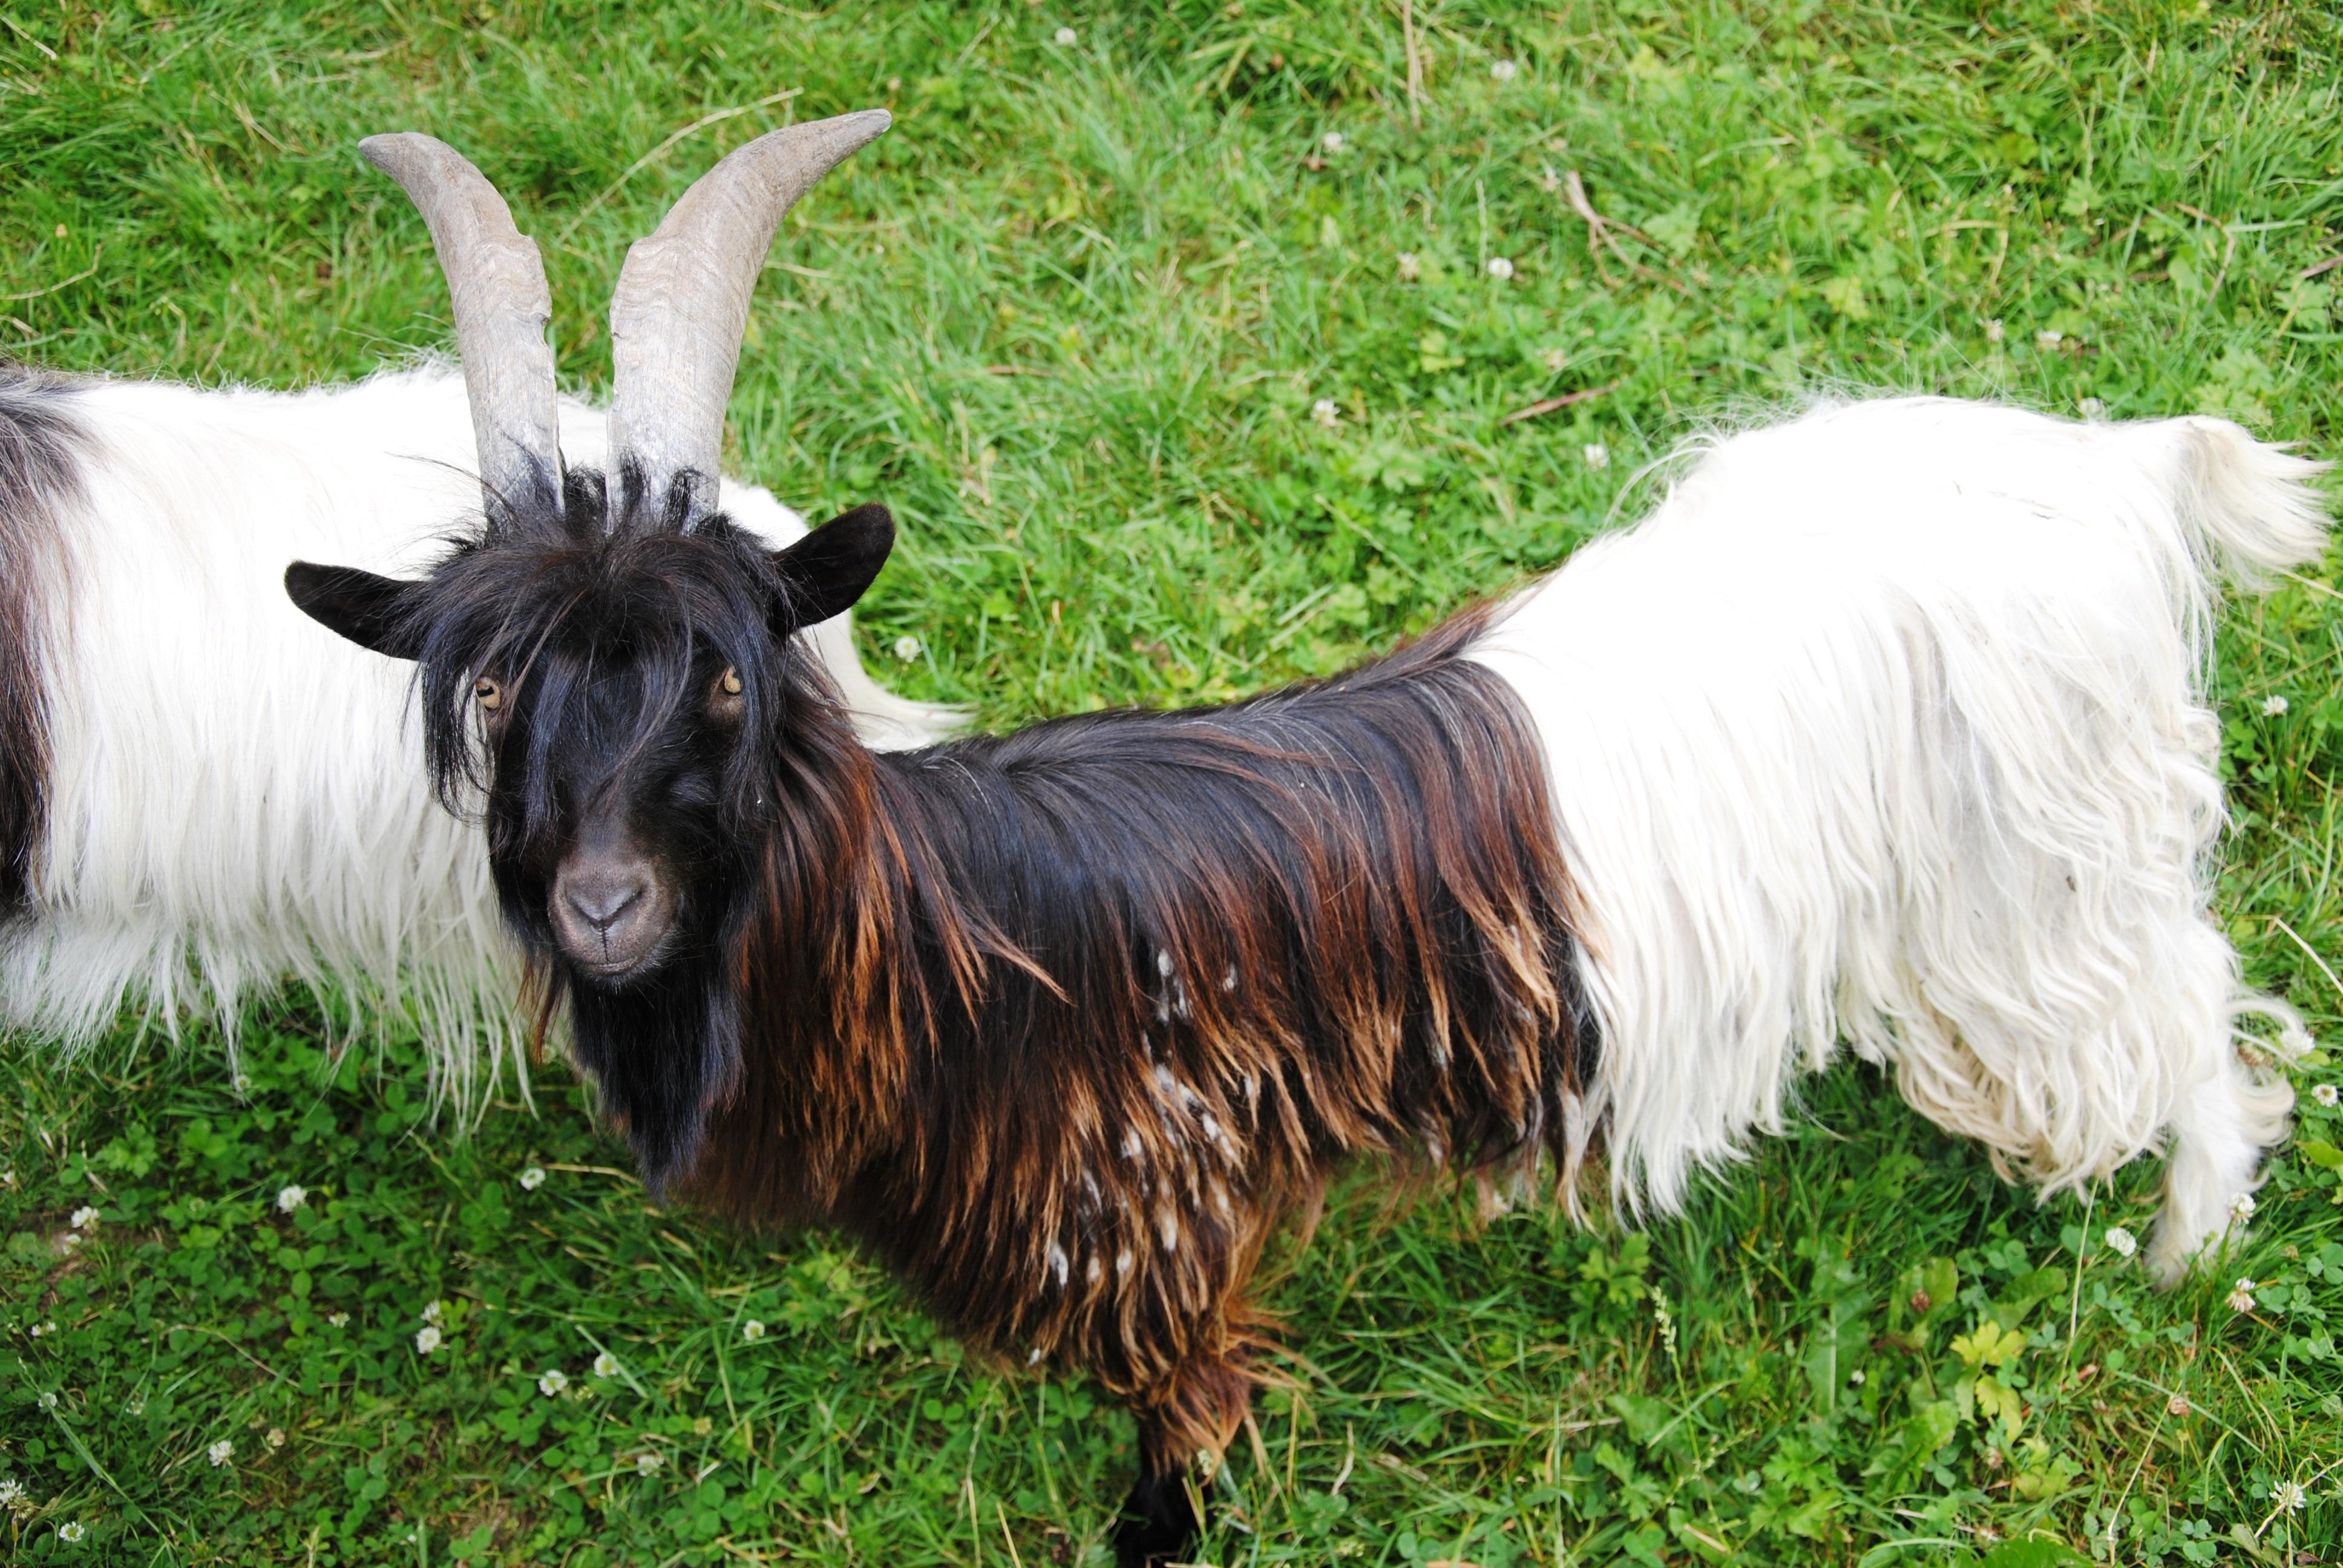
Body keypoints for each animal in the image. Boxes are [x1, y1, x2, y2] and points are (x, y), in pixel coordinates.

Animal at [286, 112, 2329, 1564]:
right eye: (492, 693)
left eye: (722, 680)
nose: (604, 906)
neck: (950, 931)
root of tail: (2119, 471)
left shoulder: (1159, 1239)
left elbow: (1177, 1459)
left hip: (2051, 876)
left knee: (2197, 1015)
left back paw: (2181, 1254)